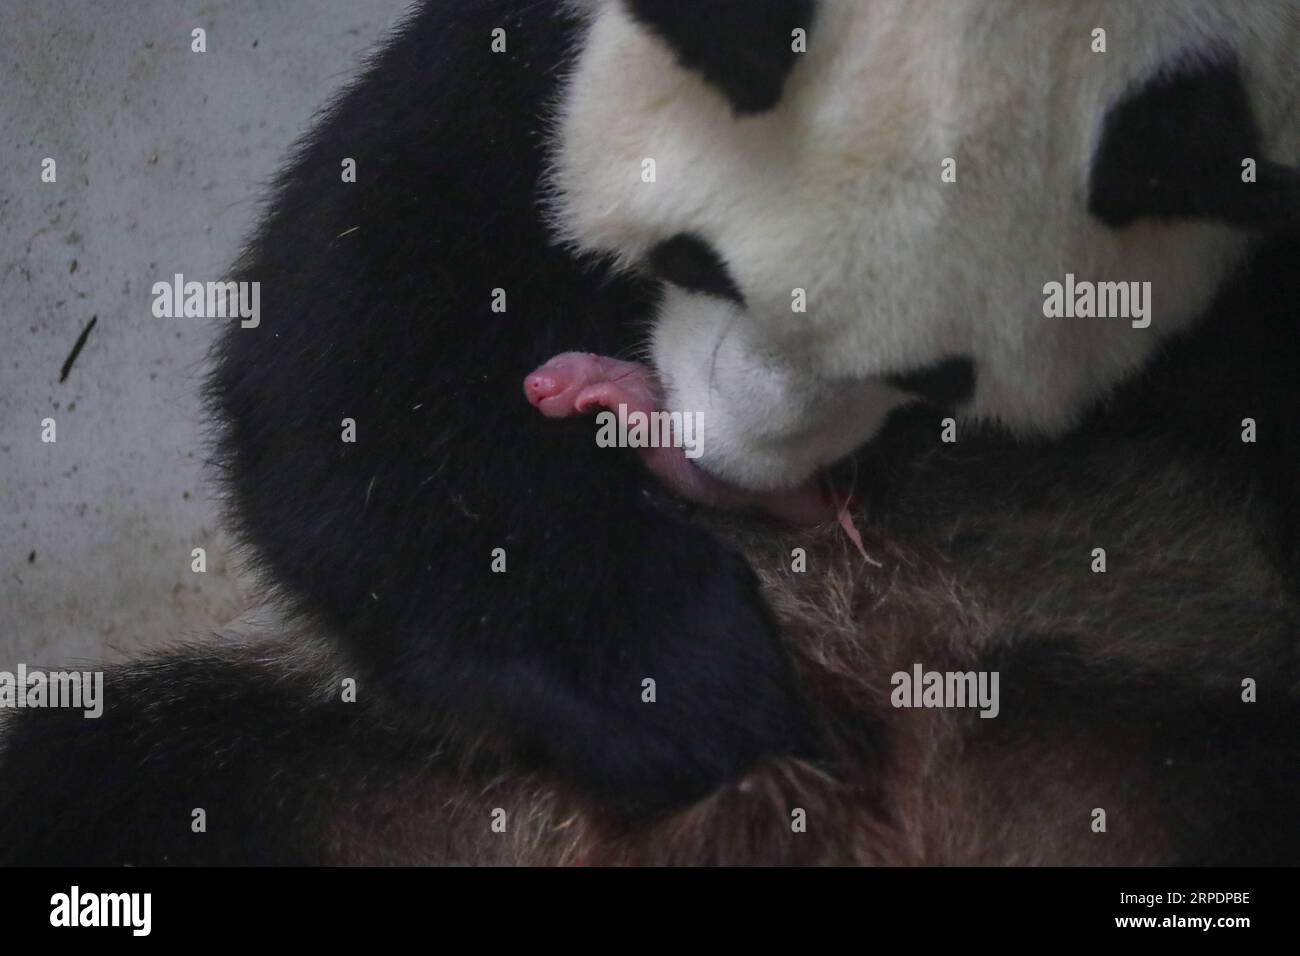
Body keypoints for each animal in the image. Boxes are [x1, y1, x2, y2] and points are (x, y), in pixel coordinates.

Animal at [2, 0, 1300, 868]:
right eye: (691, 260)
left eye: (933, 377)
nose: (720, 466)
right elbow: (358, 341)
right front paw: (690, 680)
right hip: (368, 781)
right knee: (116, 781)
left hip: (1133, 703)